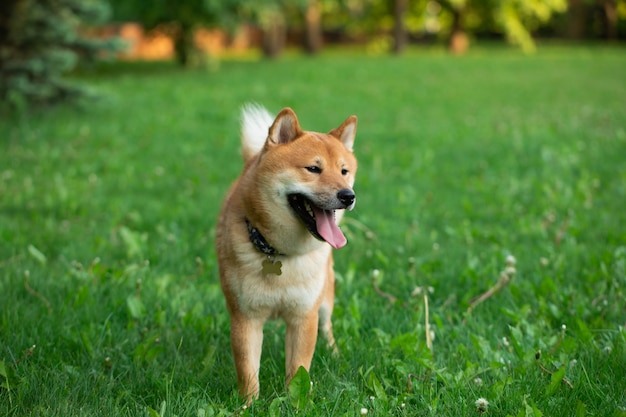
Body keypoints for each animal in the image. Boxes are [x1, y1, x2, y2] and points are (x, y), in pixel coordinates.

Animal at [217, 103, 358, 400]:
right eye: (313, 168)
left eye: (344, 171)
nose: (347, 195)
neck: (280, 253)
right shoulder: (245, 318)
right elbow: (248, 371)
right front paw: (247, 404)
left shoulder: (304, 316)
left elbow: (298, 370)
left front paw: (296, 401)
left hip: (325, 296)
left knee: (327, 325)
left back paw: (334, 353)